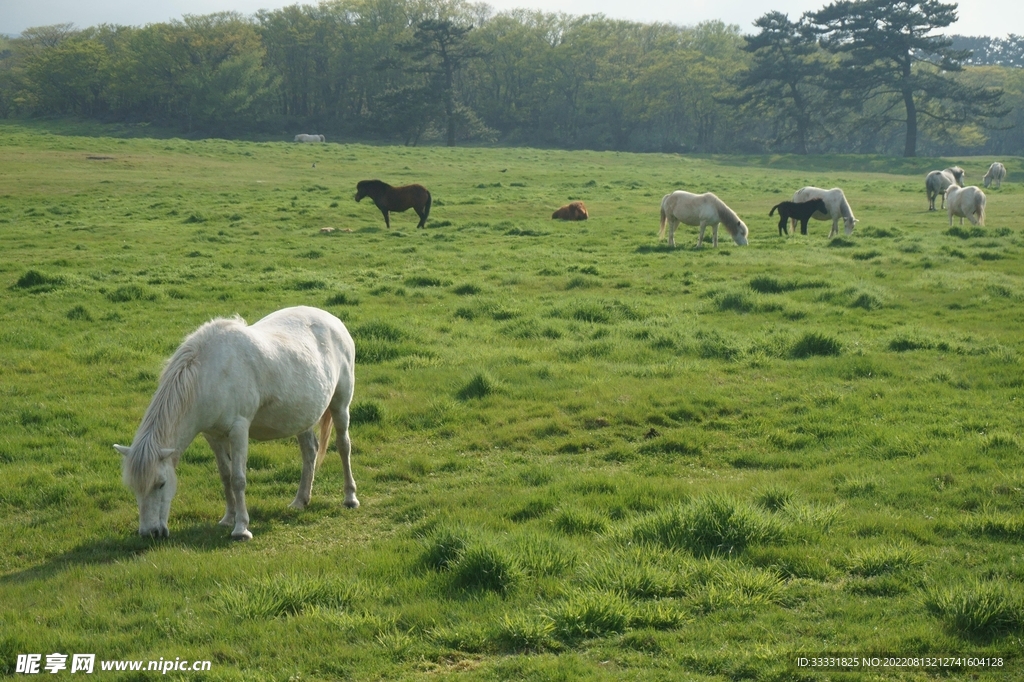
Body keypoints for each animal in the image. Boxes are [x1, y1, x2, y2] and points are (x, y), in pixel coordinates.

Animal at [115, 306, 358, 541]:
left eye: (161, 483)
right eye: (133, 487)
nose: (150, 534)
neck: (208, 376)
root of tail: (333, 320)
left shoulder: (239, 430)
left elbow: (238, 478)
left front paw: (241, 529)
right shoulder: (212, 435)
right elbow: (225, 476)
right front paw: (228, 518)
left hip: (340, 405)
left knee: (343, 446)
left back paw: (350, 498)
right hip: (301, 415)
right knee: (309, 452)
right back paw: (300, 501)